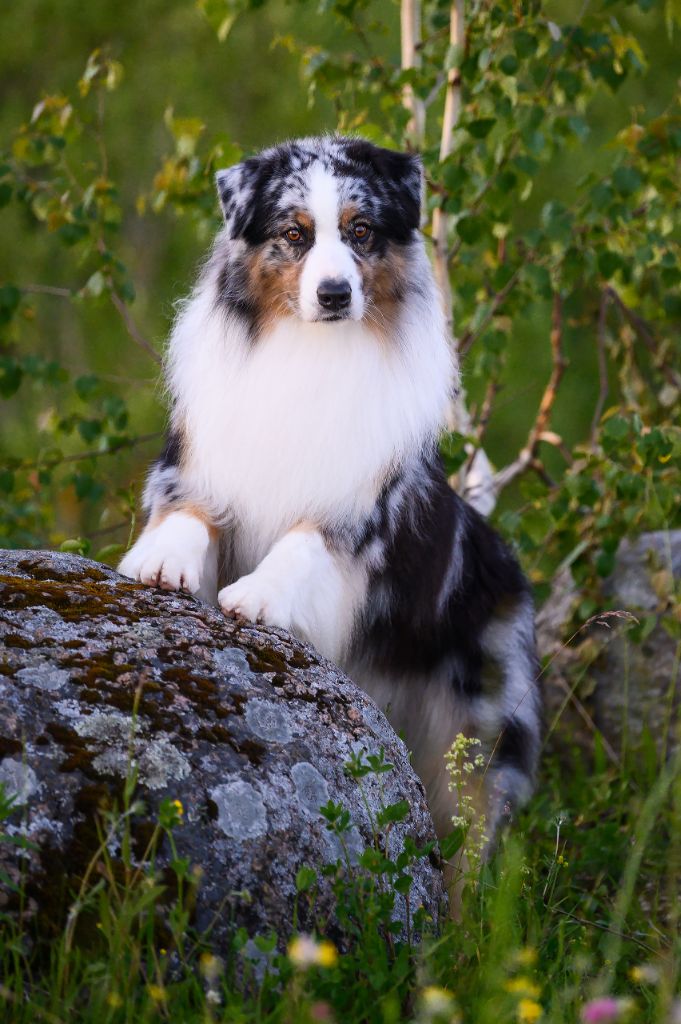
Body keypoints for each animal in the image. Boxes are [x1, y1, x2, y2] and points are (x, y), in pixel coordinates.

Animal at [119, 134, 540, 872]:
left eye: (361, 231)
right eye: (295, 234)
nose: (335, 293)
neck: (309, 350)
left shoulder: (359, 507)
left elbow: (304, 542)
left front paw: (258, 598)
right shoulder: (197, 461)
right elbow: (189, 513)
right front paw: (161, 562)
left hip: (479, 740)